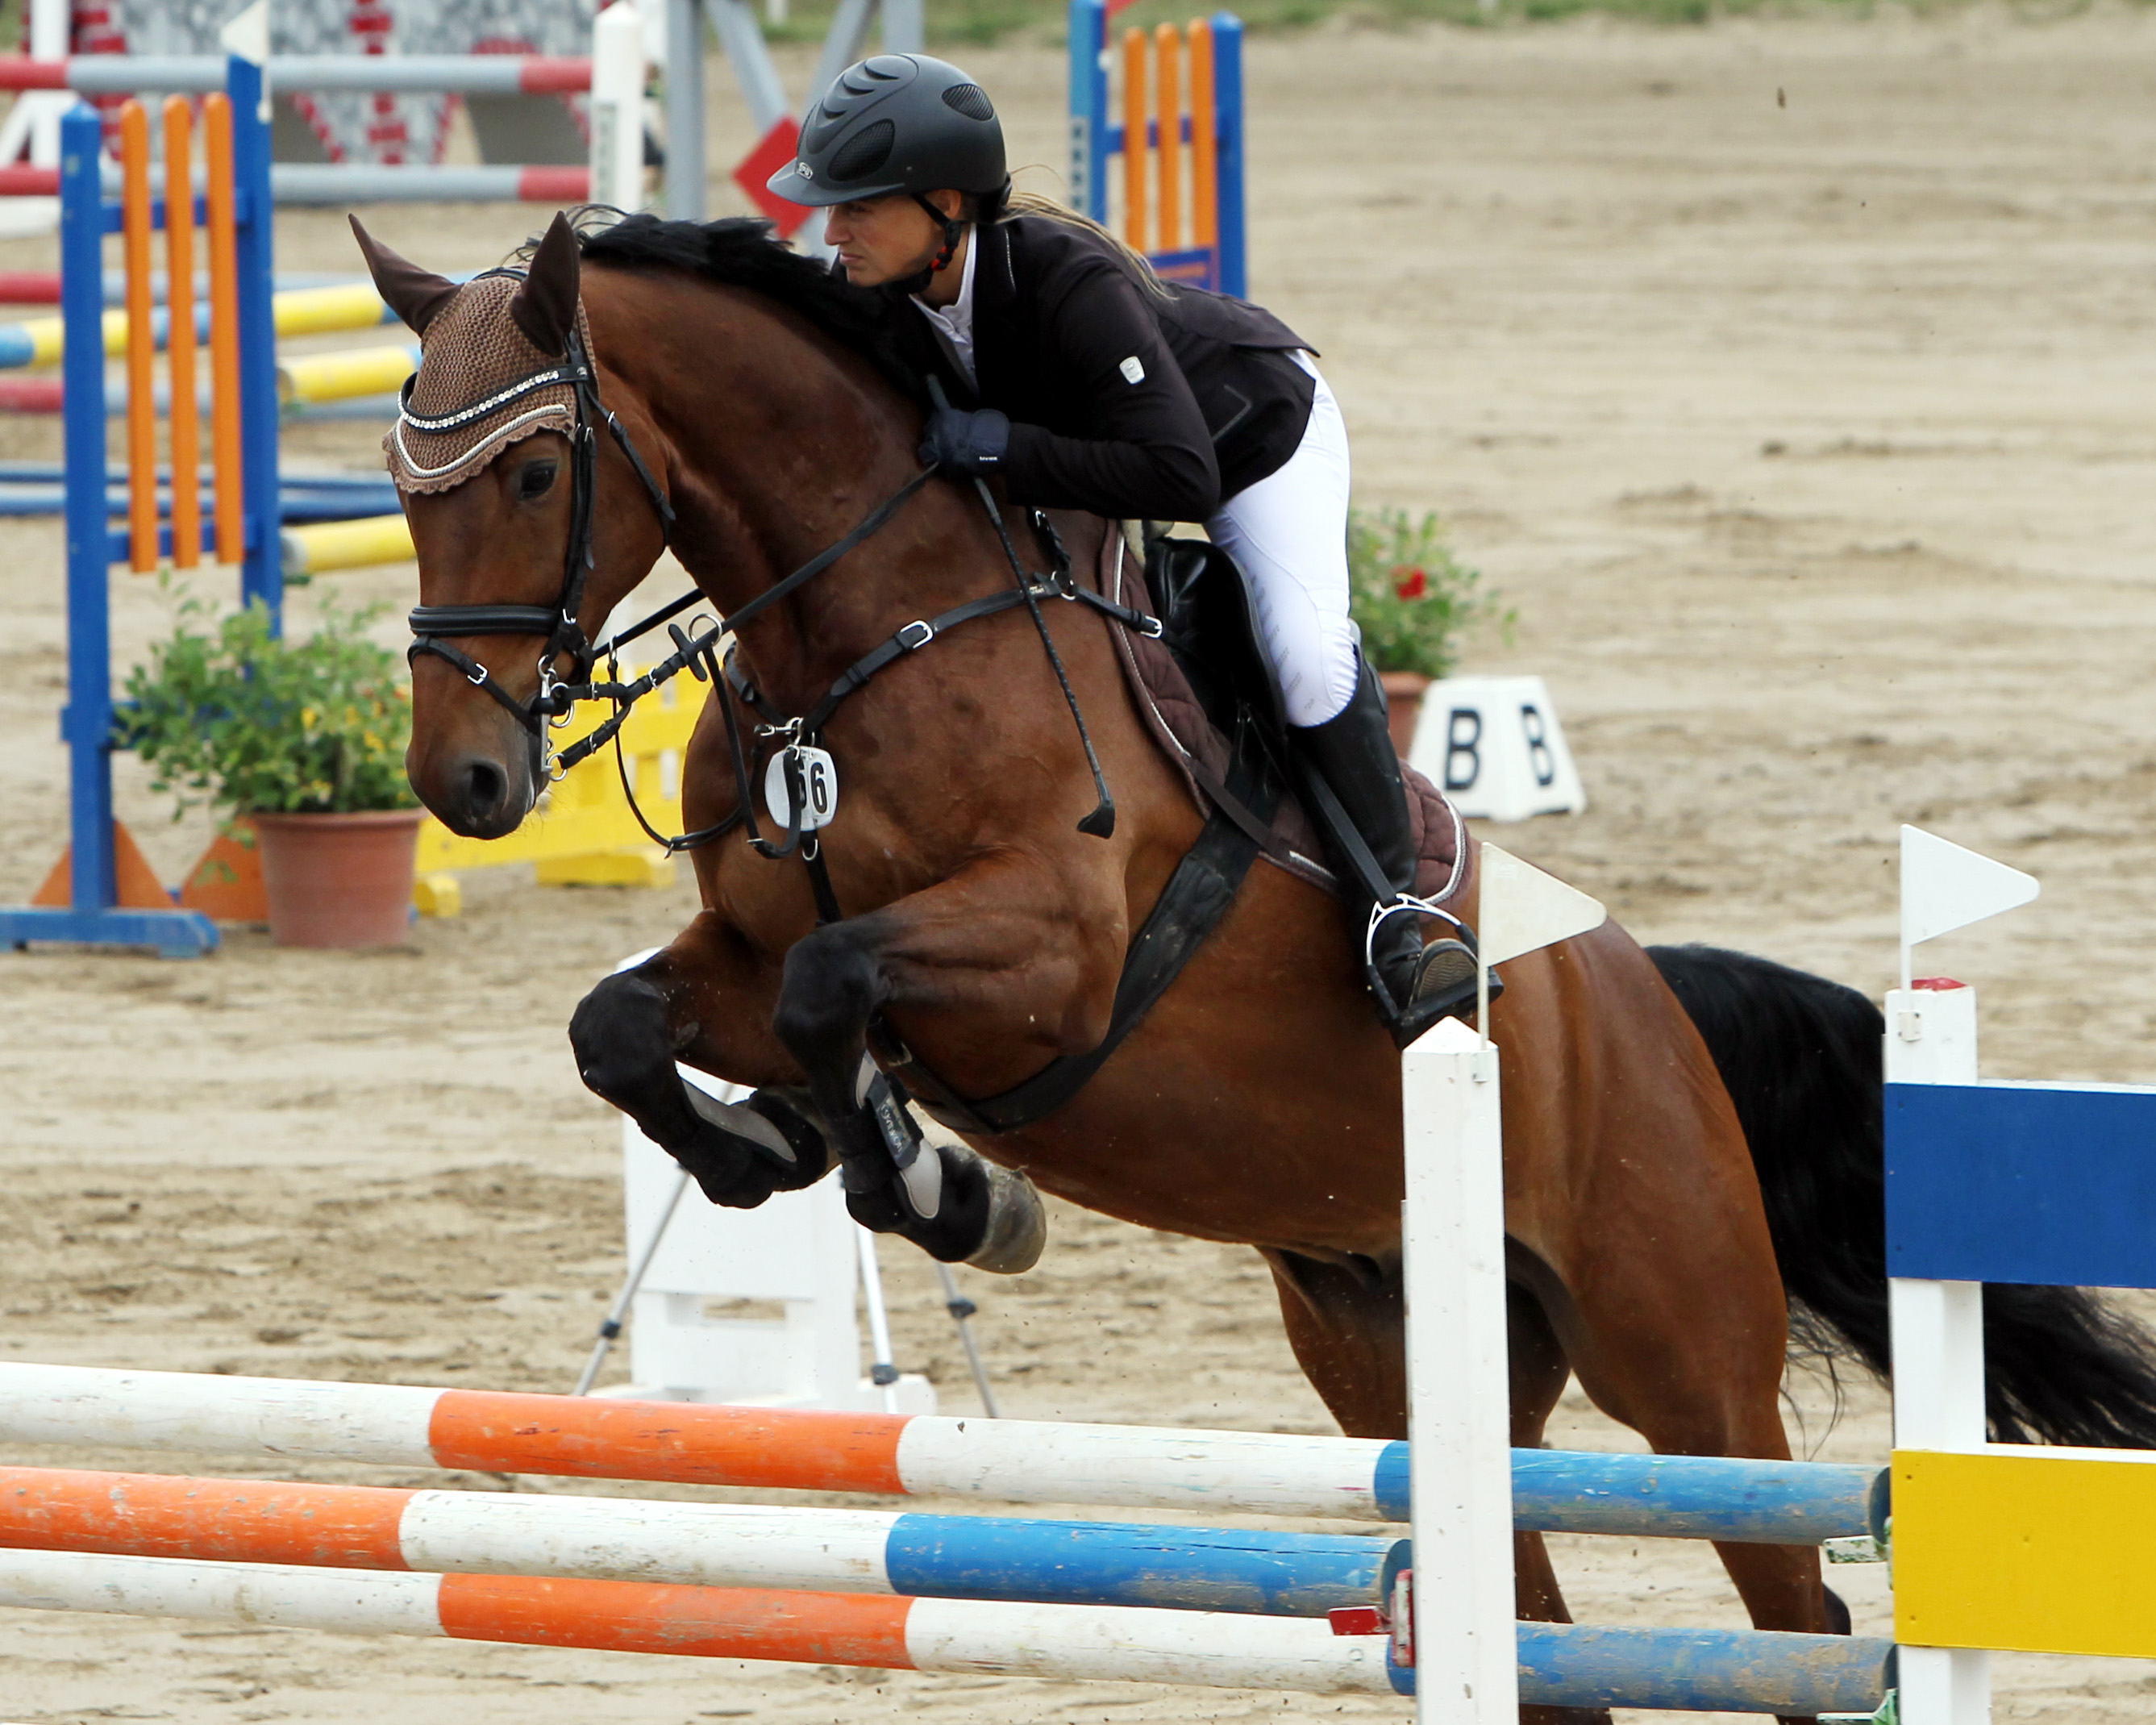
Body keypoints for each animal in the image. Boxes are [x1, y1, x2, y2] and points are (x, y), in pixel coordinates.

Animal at [362, 206, 2156, 1725]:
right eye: (399, 478)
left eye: (533, 474)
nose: (467, 781)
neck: (864, 629)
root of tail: (1644, 991)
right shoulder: (745, 944)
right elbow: (622, 1021)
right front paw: (775, 1149)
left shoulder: (1052, 951)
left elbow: (834, 998)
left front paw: (939, 1186)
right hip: (1399, 1357)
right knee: (1539, 1630)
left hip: (1681, 1357)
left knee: (1795, 1620)